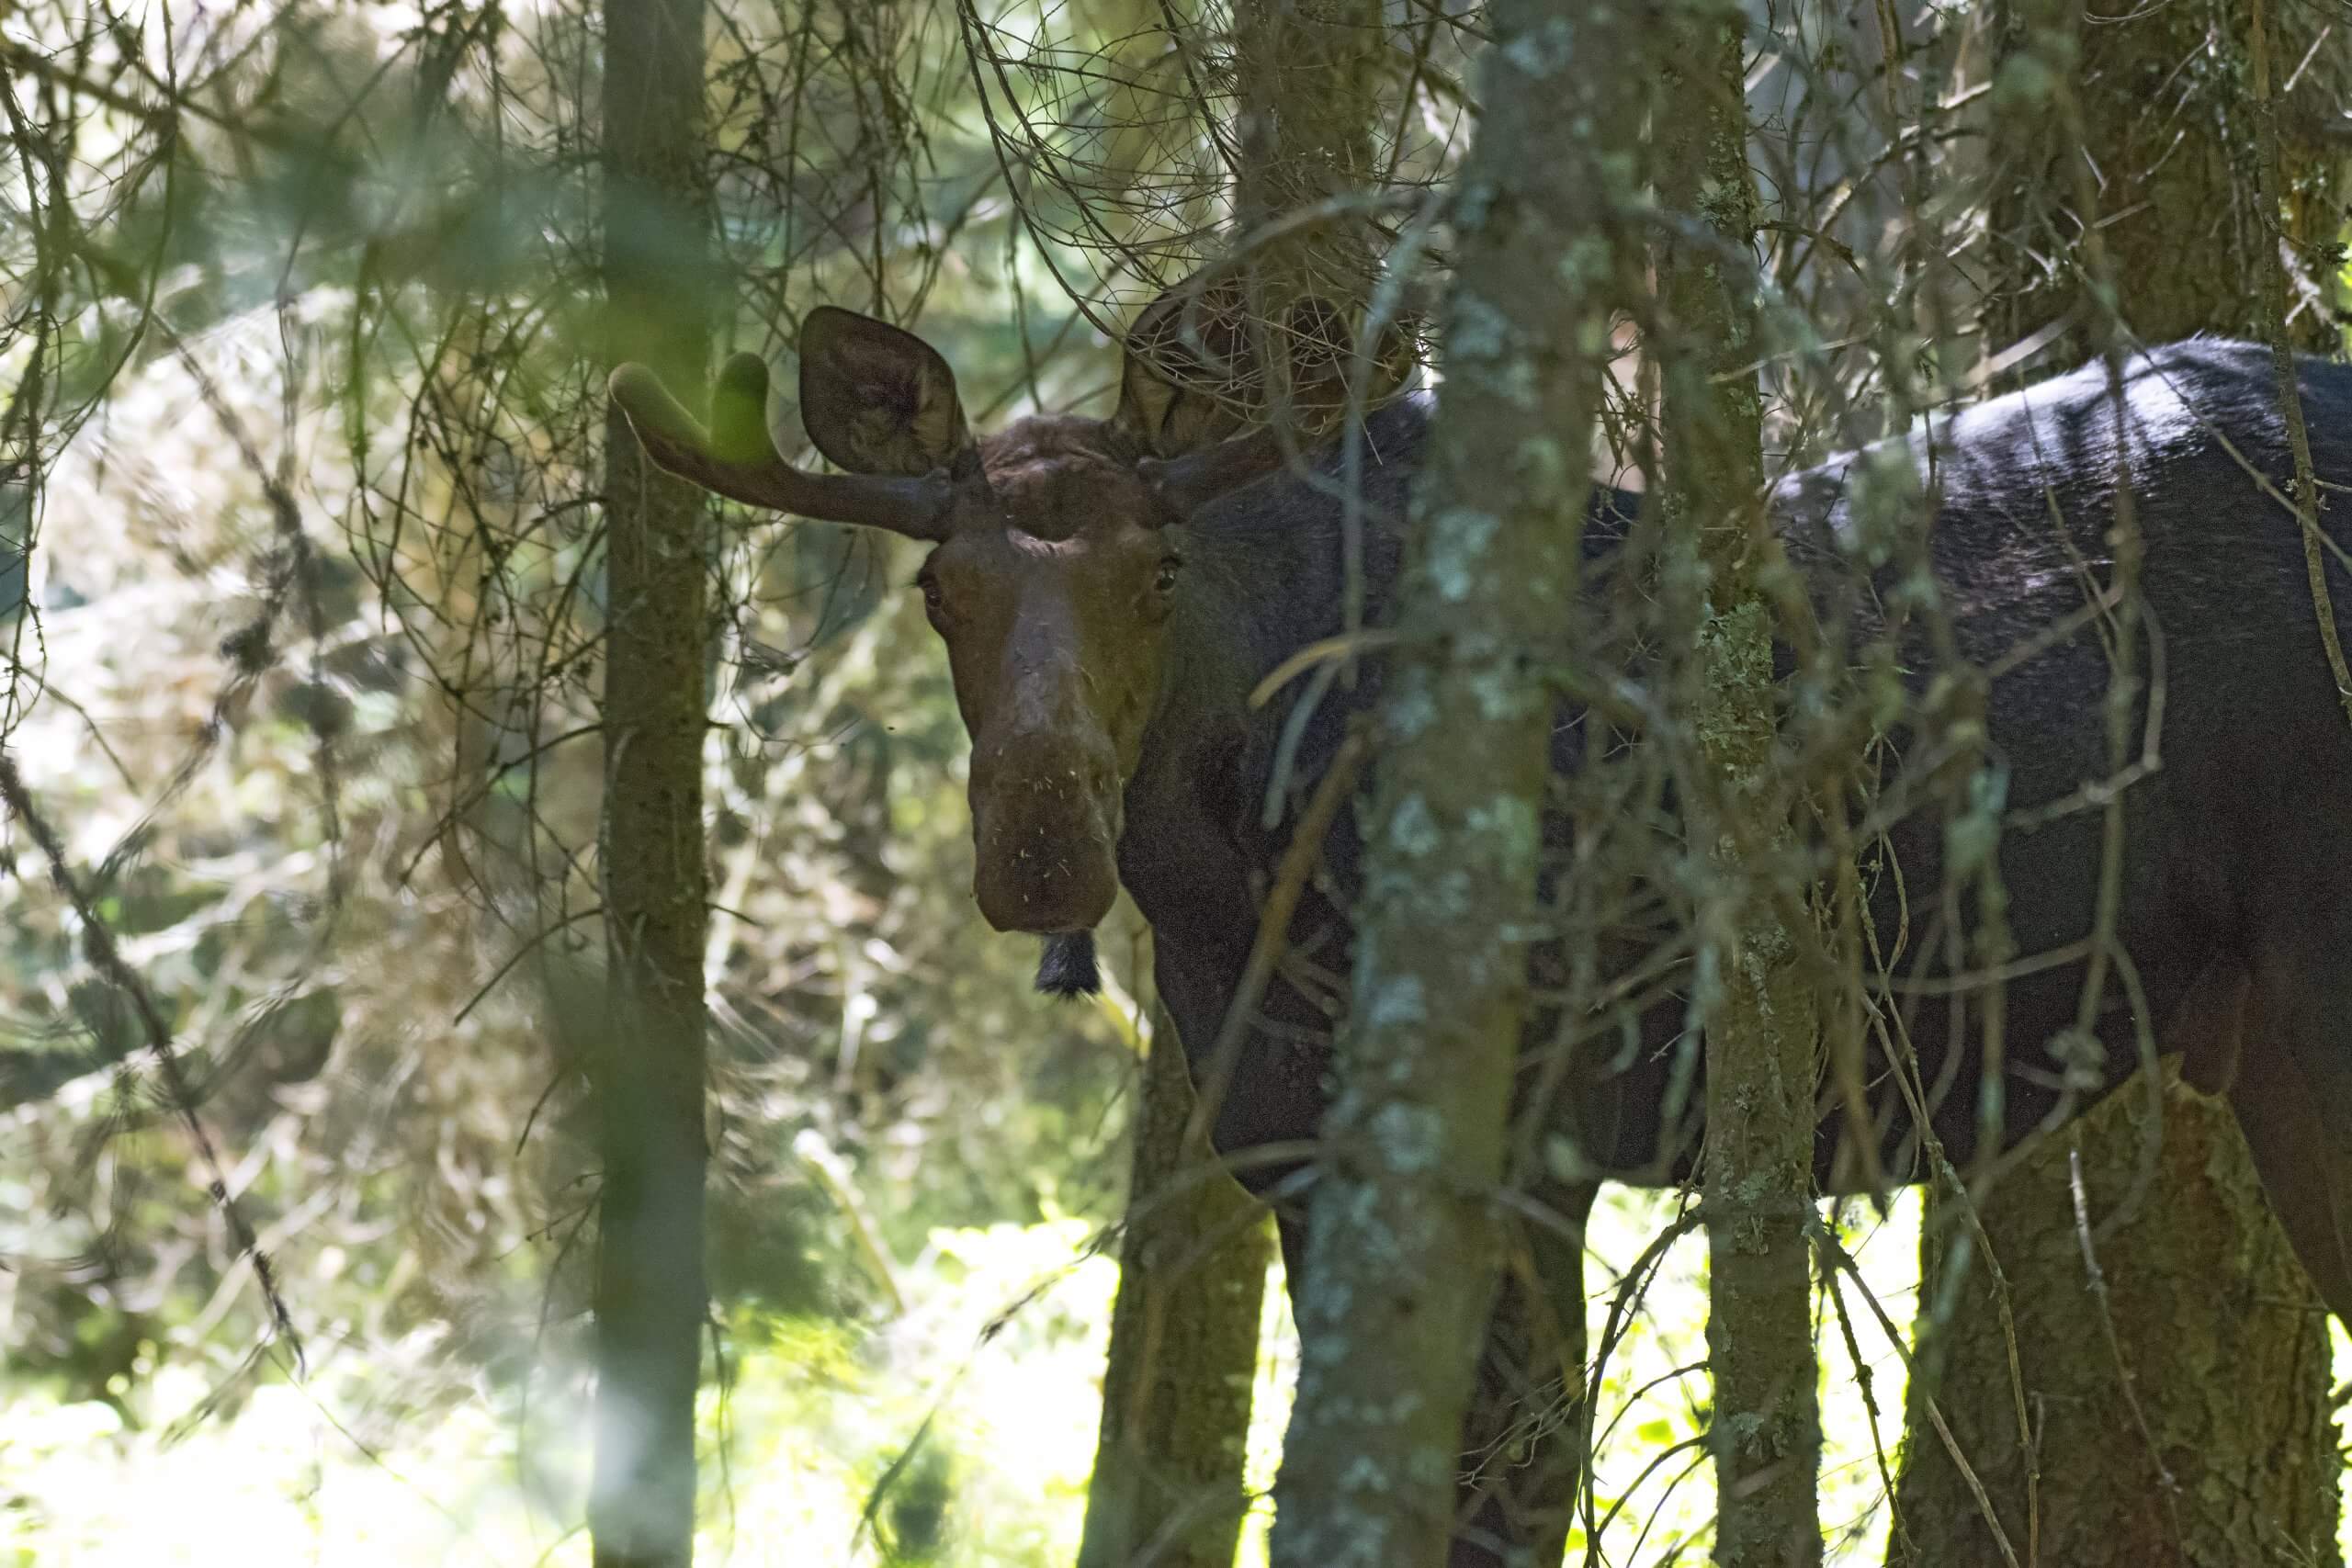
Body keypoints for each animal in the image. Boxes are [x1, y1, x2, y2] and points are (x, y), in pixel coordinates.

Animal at [616, 285, 2352, 1568]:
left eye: (1161, 569)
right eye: (938, 589)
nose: (1039, 841)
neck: (1239, 893)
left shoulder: (1532, 1139)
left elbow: (1504, 1492)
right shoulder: (1295, 1152)